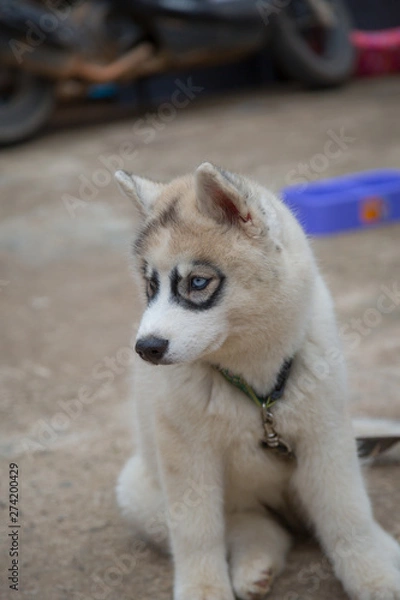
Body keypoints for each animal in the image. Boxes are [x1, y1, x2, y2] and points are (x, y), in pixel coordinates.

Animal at [113, 163, 400, 600]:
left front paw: (375, 578)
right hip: (138, 489)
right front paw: (203, 590)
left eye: (197, 283)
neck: (256, 384)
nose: (146, 348)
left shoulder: (327, 438)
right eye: (150, 286)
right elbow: (197, 534)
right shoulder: (186, 455)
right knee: (249, 525)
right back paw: (256, 562)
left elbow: (348, 516)